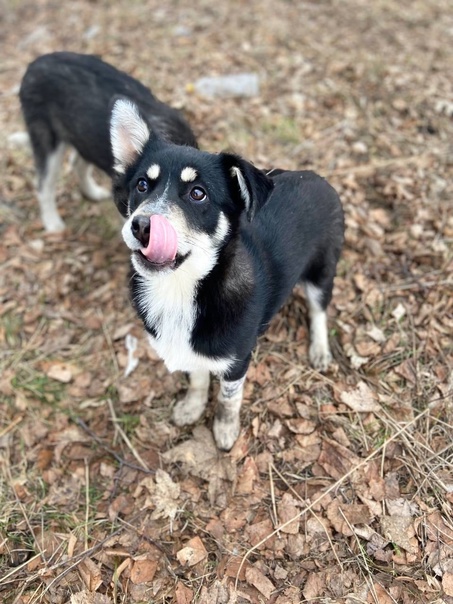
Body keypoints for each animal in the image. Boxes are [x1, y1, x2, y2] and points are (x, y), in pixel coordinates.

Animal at [19, 52, 198, 233]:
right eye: (142, 186)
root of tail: (37, 61)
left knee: (78, 163)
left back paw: (92, 192)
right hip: (47, 142)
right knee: (44, 186)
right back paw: (53, 224)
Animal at [110, 99, 344, 451]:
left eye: (198, 193)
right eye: (141, 185)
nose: (141, 226)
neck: (180, 289)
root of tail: (319, 177)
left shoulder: (237, 362)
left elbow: (228, 399)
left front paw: (224, 430)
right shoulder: (194, 354)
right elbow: (197, 379)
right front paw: (192, 407)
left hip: (322, 272)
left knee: (319, 311)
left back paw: (319, 350)